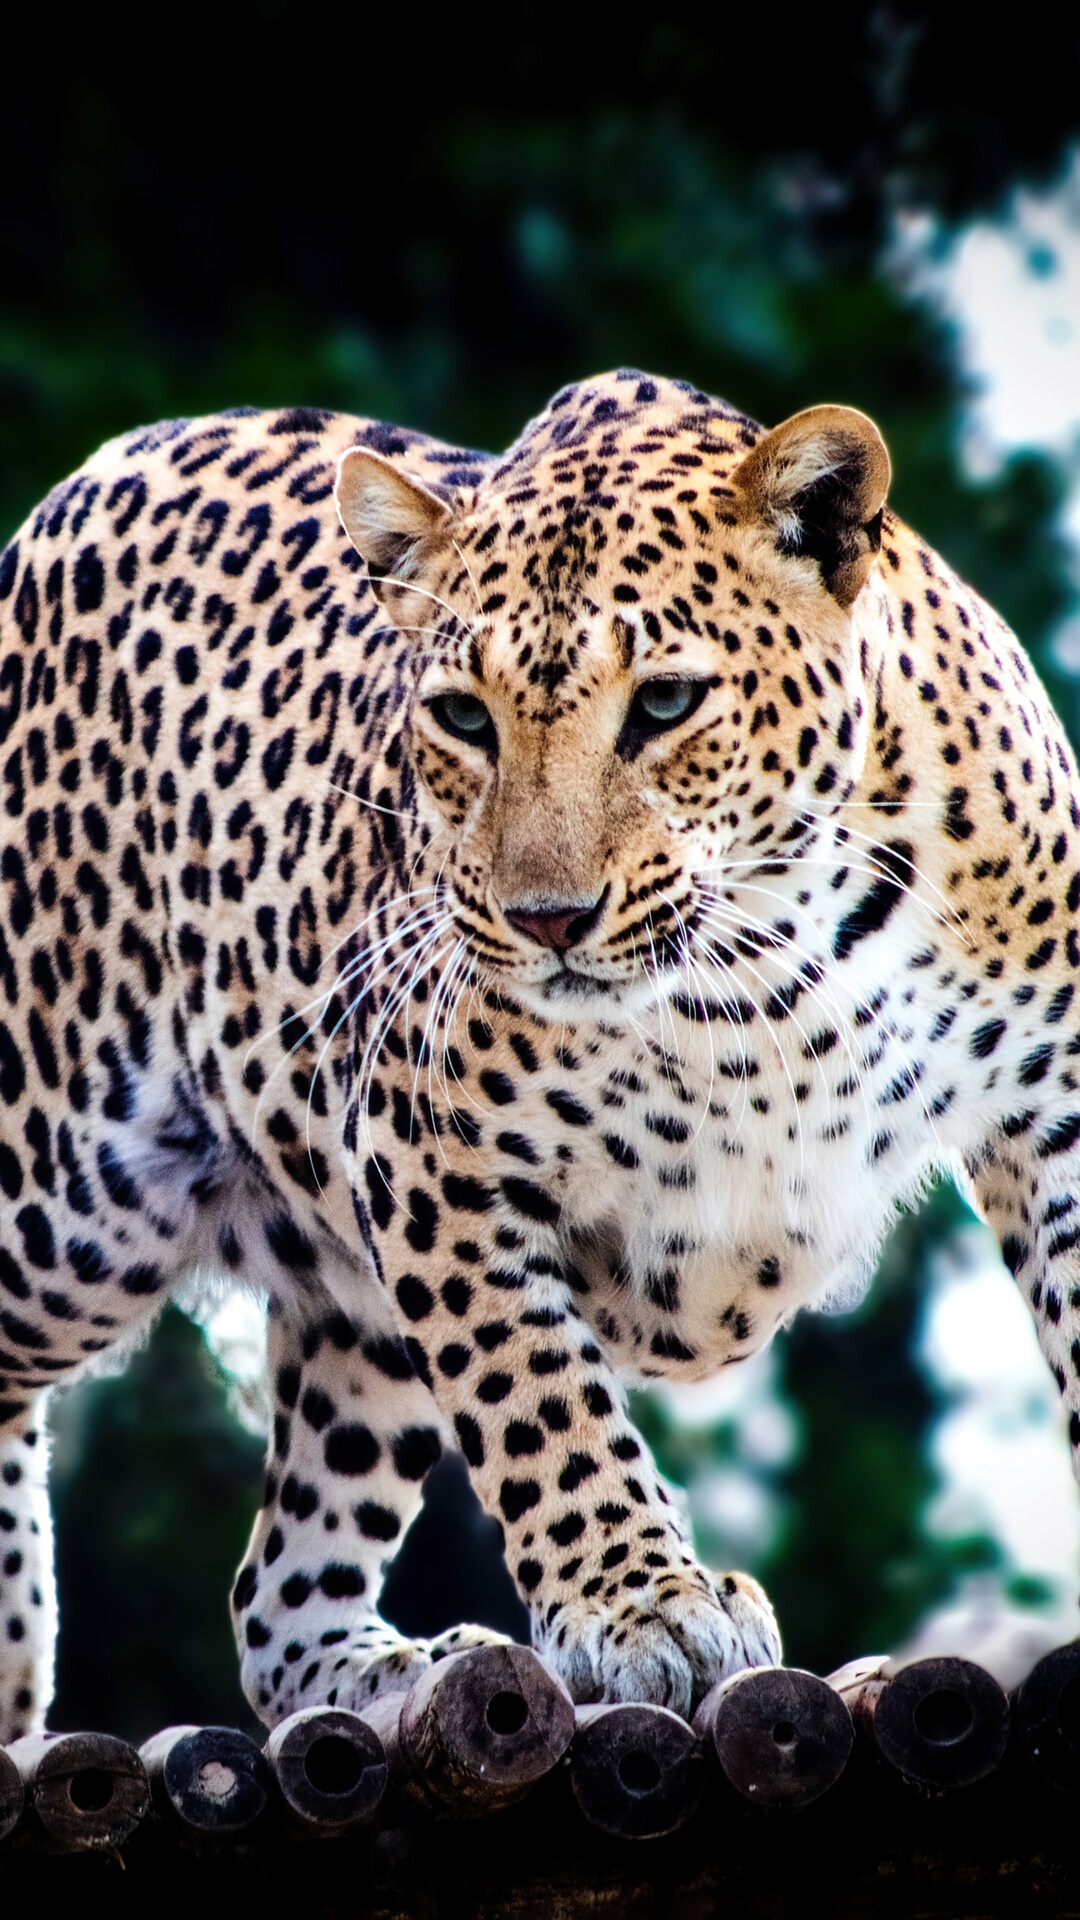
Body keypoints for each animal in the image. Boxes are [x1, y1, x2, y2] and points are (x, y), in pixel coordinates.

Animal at [0, 365, 1077, 1741]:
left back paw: (389, 1672)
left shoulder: (1054, 1106)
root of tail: (74, 485)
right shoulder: (426, 1148)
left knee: (277, 1597)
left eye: (664, 703)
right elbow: (539, 1396)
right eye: (463, 717)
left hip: (346, 1320)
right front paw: (647, 1606)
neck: (769, 967)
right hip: (71, 1198)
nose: (547, 919)